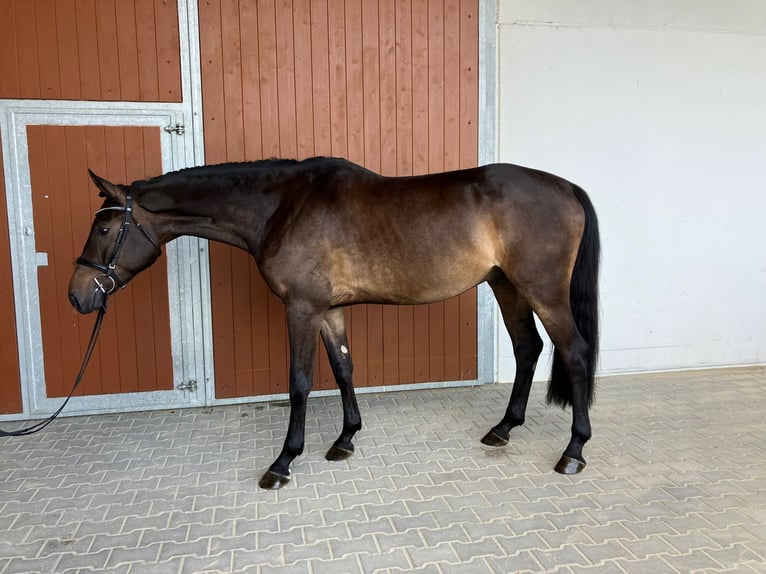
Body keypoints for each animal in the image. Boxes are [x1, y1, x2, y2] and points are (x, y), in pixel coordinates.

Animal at [69, 158, 604, 490]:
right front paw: (346, 438)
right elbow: (344, 368)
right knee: (528, 349)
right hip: (505, 284)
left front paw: (284, 461)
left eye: (104, 228)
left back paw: (574, 451)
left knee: (574, 352)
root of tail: (566, 187)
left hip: (541, 290)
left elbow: (300, 383)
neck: (282, 206)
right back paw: (503, 428)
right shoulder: (327, 309)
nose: (77, 296)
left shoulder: (301, 308)